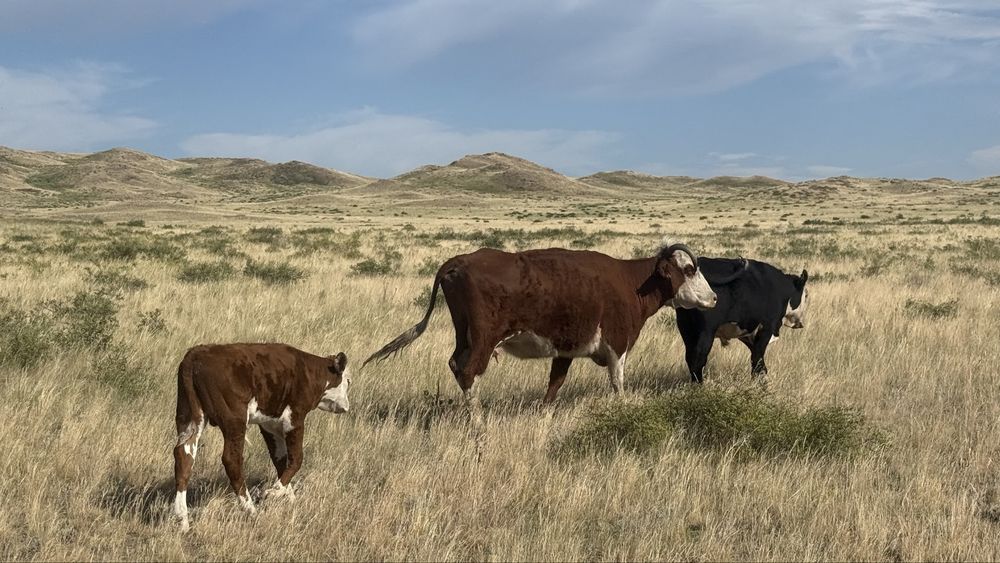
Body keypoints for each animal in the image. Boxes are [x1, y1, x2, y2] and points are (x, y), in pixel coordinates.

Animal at [172, 343, 351, 532]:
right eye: (348, 381)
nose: (346, 406)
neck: (309, 372)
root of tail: (194, 355)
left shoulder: (269, 425)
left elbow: (280, 460)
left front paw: (289, 498)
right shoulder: (295, 419)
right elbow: (296, 459)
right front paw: (273, 492)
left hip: (189, 417)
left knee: (184, 457)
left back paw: (183, 521)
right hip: (234, 420)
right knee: (231, 460)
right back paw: (251, 510)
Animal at [363, 242, 731, 427]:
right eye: (689, 270)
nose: (714, 298)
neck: (630, 281)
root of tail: (460, 261)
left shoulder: (566, 350)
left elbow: (554, 385)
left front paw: (544, 416)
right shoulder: (617, 346)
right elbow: (618, 384)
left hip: (464, 335)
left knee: (456, 365)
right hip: (483, 338)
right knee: (468, 371)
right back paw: (478, 424)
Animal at [675, 257, 809, 386]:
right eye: (806, 295)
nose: (800, 323)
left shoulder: (748, 334)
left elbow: (757, 360)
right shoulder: (767, 328)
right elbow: (758, 359)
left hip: (686, 328)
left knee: (689, 357)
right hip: (706, 331)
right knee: (698, 359)